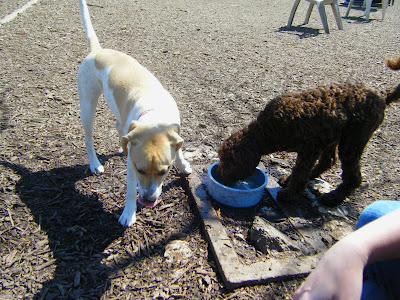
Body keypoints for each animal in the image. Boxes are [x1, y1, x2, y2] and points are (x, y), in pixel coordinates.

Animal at [77, 0, 192, 226]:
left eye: (164, 171)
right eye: (140, 169)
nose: (148, 199)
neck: (155, 116)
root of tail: (97, 51)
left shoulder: (175, 133)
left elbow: (179, 150)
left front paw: (183, 165)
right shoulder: (132, 168)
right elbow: (130, 190)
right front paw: (128, 214)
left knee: (119, 126)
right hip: (87, 105)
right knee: (88, 137)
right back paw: (95, 164)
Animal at [219, 62, 400, 206]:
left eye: (228, 163)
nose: (220, 178)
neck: (267, 130)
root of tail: (381, 95)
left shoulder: (310, 148)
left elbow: (300, 173)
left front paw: (289, 194)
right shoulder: (314, 146)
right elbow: (300, 171)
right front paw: (291, 182)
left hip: (353, 139)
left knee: (352, 176)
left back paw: (333, 198)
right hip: (333, 136)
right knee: (329, 160)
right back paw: (311, 177)